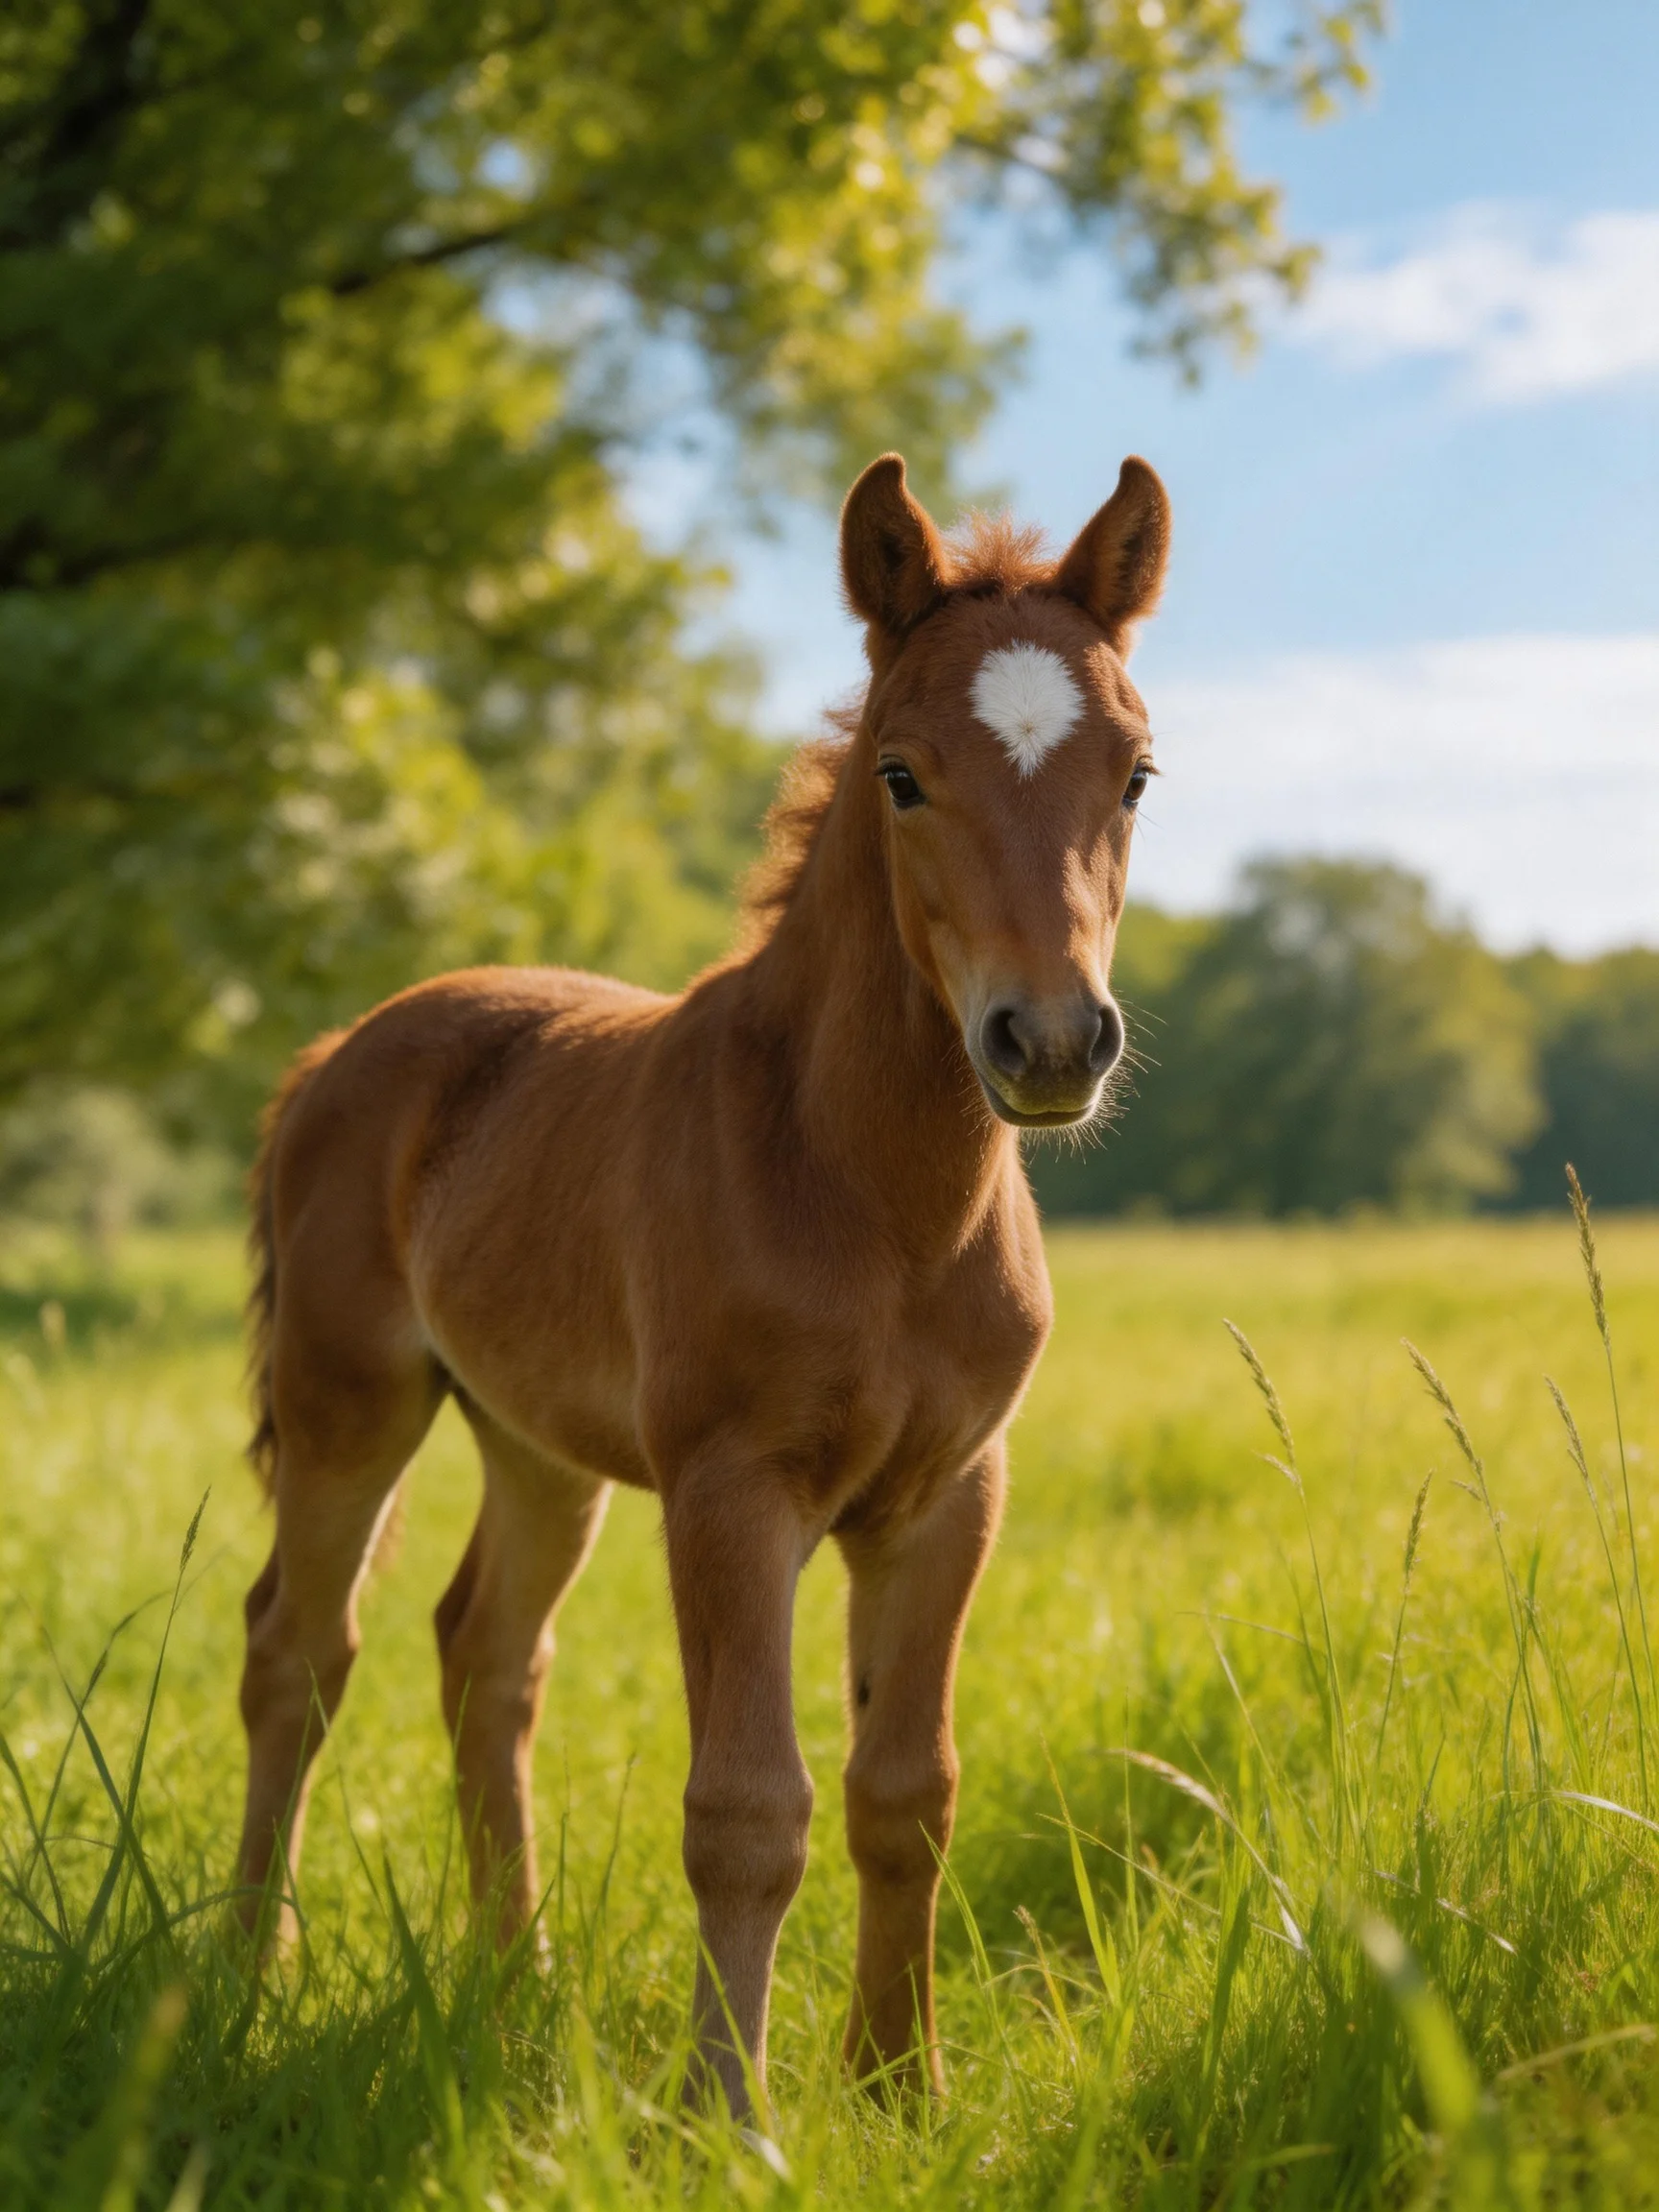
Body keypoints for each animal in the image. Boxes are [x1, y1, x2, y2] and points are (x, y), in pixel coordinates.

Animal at [234, 448, 1171, 2115]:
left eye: (1134, 774)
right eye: (901, 775)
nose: (1053, 1043)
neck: (874, 1197)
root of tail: (341, 1051)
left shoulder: (948, 1496)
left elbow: (905, 1792)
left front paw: (900, 2090)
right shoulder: (735, 1490)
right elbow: (747, 1808)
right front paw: (728, 2115)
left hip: (535, 1445)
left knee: (486, 1656)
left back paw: (515, 1983)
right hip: (351, 1402)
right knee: (296, 1647)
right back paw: (232, 1980)